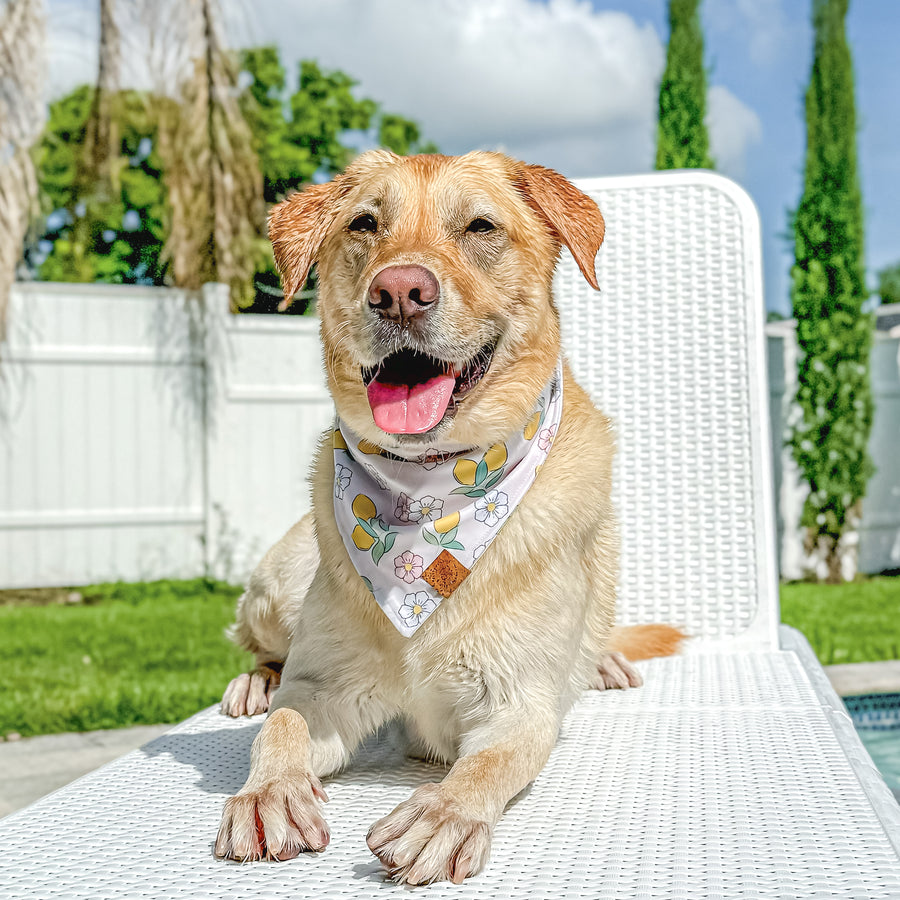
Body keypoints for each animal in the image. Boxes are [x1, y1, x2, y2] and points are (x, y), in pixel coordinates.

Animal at [216, 149, 684, 884]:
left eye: (480, 227)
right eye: (365, 223)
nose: (398, 291)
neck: (428, 499)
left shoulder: (520, 706)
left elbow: (490, 763)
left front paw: (444, 812)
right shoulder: (323, 690)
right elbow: (283, 726)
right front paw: (269, 792)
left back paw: (603, 661)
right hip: (277, 580)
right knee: (266, 652)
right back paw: (252, 684)